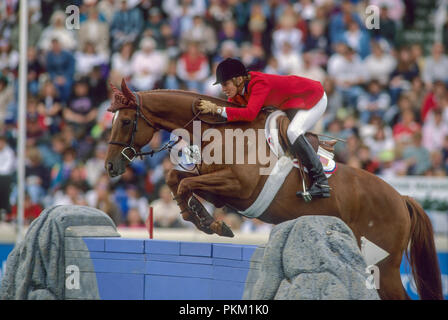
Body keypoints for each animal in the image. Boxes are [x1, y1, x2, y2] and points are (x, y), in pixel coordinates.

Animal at [106, 80, 444, 300]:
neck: (224, 132)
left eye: (126, 121)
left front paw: (210, 223)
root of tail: (402, 199)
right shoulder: (216, 183)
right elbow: (176, 179)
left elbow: (186, 183)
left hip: (384, 266)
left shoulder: (238, 187)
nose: (110, 167)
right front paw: (201, 219)